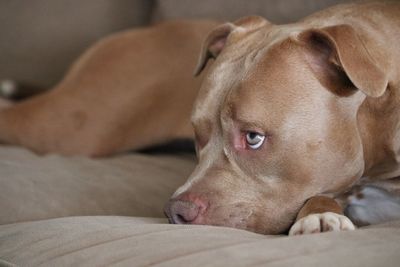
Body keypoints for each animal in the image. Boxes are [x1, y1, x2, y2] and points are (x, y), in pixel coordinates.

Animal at [0, 2, 400, 237]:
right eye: (198, 134)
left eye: (253, 137)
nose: (174, 210)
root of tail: (148, 30)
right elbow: (319, 197)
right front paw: (319, 216)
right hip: (72, 124)